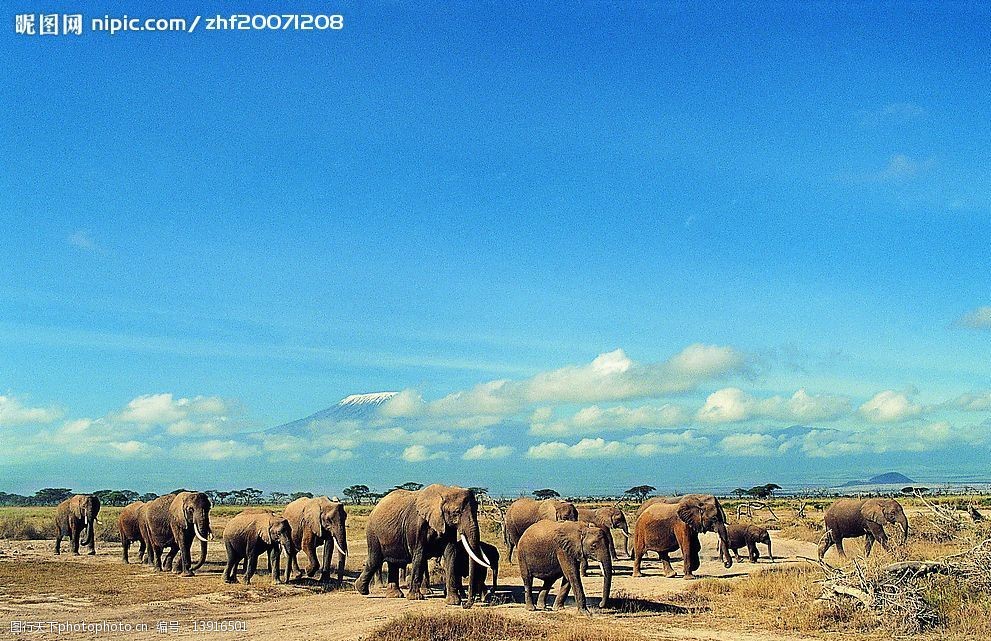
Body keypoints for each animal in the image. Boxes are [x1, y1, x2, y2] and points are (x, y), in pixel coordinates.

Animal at [360, 482, 492, 608]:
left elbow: (450, 554)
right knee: (375, 559)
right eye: (456, 512)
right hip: (373, 533)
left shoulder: (447, 526)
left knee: (393, 562)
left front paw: (453, 601)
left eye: (476, 511)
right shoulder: (416, 526)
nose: (465, 605)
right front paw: (415, 598)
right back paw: (362, 590)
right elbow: (419, 554)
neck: (444, 491)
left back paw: (394, 595)